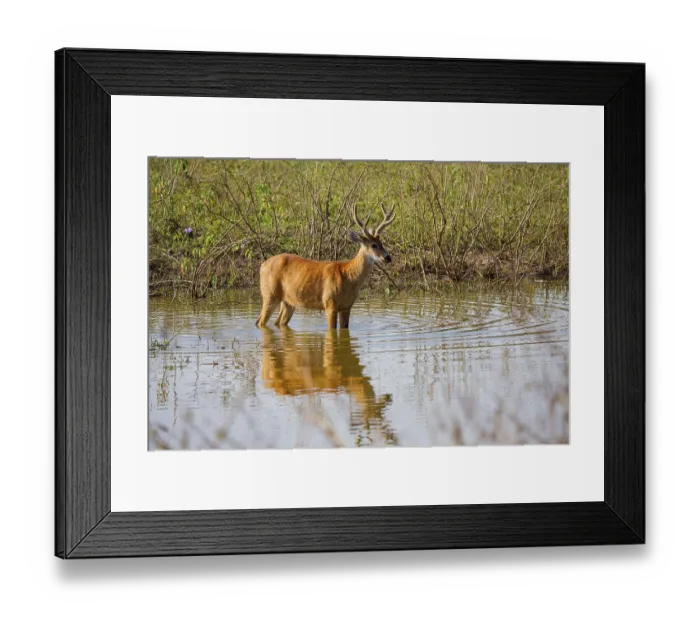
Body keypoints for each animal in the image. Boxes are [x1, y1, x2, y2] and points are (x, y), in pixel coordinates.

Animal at [255, 203, 396, 329]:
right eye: (373, 245)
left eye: (382, 243)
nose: (388, 258)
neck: (348, 277)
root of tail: (262, 265)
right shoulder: (330, 303)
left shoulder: (347, 306)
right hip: (270, 294)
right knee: (260, 322)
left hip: (288, 301)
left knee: (276, 322)